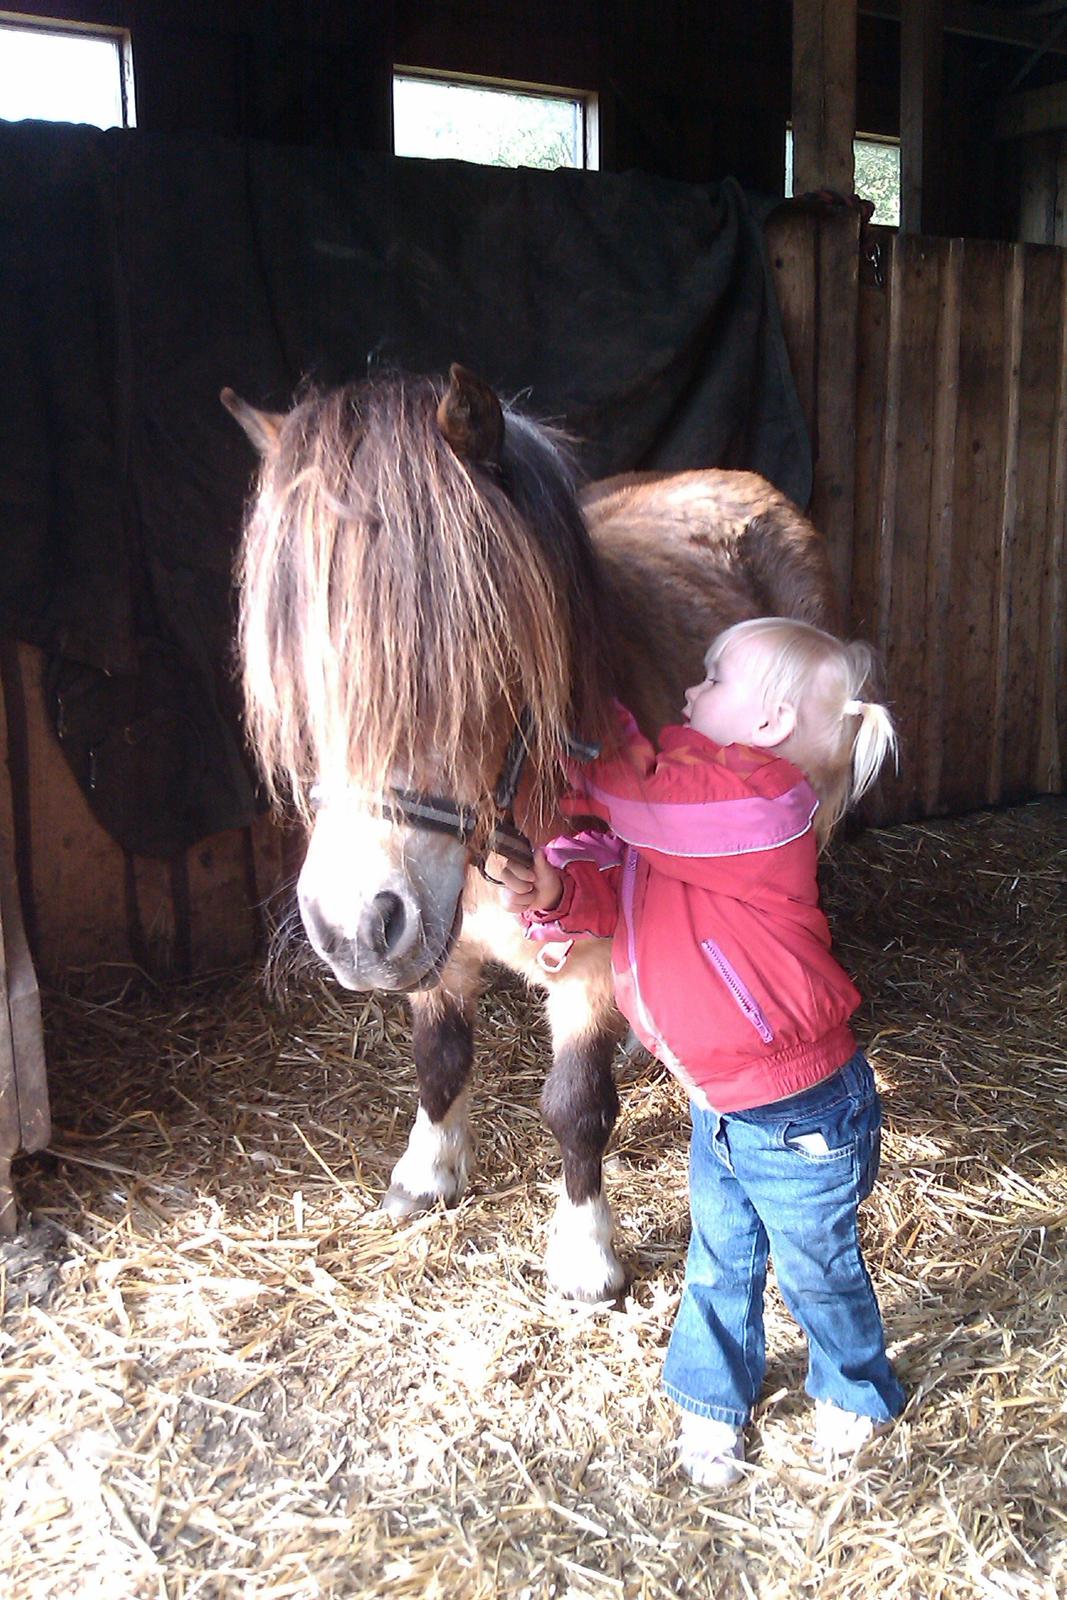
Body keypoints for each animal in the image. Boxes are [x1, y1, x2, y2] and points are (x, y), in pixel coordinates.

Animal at [223, 364, 841, 1301]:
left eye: (478, 652)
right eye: (299, 665)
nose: (355, 929)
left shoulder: (583, 964)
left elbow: (574, 1106)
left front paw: (585, 1257)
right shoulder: (435, 948)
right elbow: (439, 1059)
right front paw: (426, 1175)